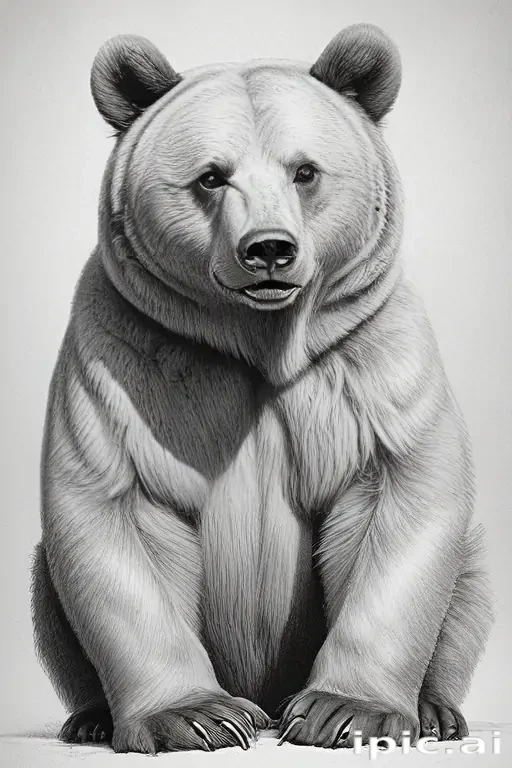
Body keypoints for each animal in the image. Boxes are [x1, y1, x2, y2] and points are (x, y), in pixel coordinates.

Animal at [31, 23, 494, 753]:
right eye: (211, 176)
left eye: (304, 171)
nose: (269, 249)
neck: (259, 346)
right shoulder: (127, 359)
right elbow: (114, 506)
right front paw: (194, 716)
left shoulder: (369, 365)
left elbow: (399, 498)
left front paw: (345, 711)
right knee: (48, 587)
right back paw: (93, 717)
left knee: (469, 580)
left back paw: (435, 710)